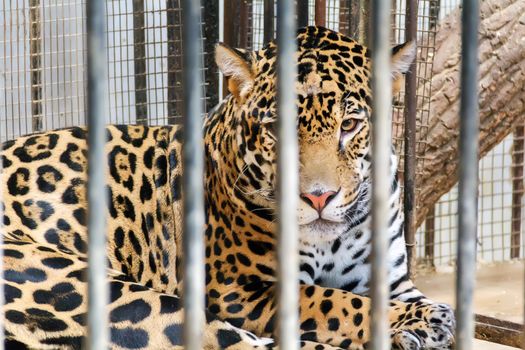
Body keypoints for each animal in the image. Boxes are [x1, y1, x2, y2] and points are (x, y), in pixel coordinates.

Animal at [1, 26, 454, 348]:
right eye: (276, 130)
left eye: (351, 125)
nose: (318, 197)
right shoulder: (236, 291)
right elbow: (334, 301)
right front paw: (424, 321)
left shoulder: (395, 280)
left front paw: (424, 318)